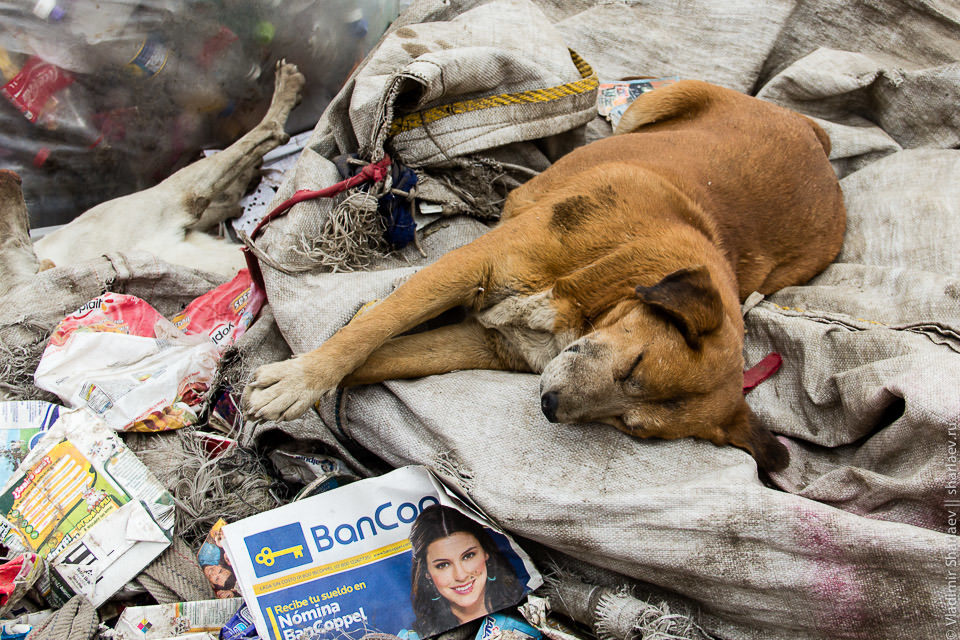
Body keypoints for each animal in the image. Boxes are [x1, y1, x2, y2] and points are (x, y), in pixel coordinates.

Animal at [244, 80, 844, 470]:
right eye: (635, 365)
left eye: (631, 428)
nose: (550, 408)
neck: (601, 295)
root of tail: (815, 137)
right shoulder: (475, 265)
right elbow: (373, 330)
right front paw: (301, 377)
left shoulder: (488, 344)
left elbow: (383, 357)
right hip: (657, 102)